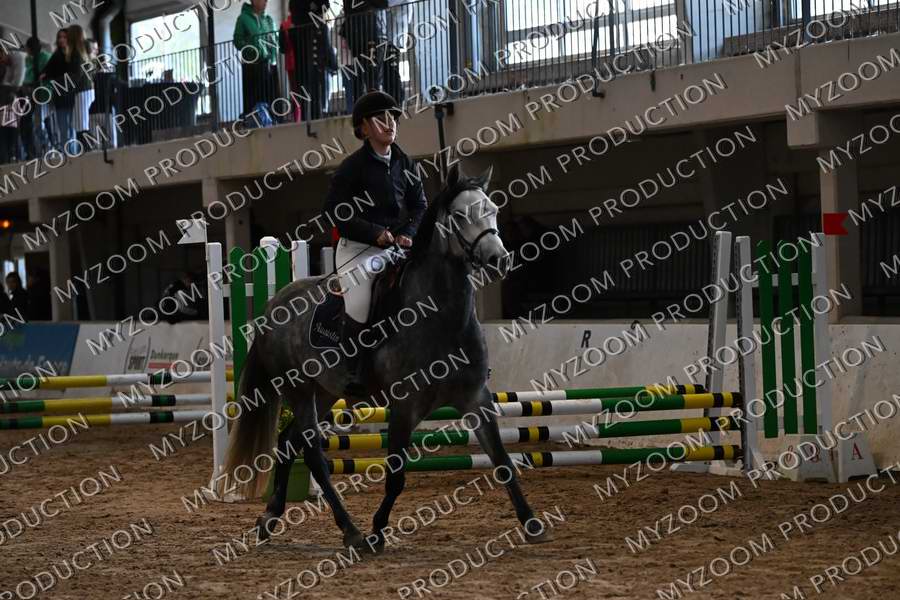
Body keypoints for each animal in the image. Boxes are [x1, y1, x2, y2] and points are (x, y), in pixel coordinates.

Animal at [220, 164, 550, 550]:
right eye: (459, 215)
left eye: (493, 210)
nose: (500, 260)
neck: (440, 317)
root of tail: (275, 302)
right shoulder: (405, 405)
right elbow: (396, 475)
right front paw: (378, 530)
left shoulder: (475, 398)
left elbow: (502, 461)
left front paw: (531, 522)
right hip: (298, 390)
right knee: (313, 453)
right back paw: (351, 531)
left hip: (323, 392)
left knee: (289, 443)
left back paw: (270, 519)